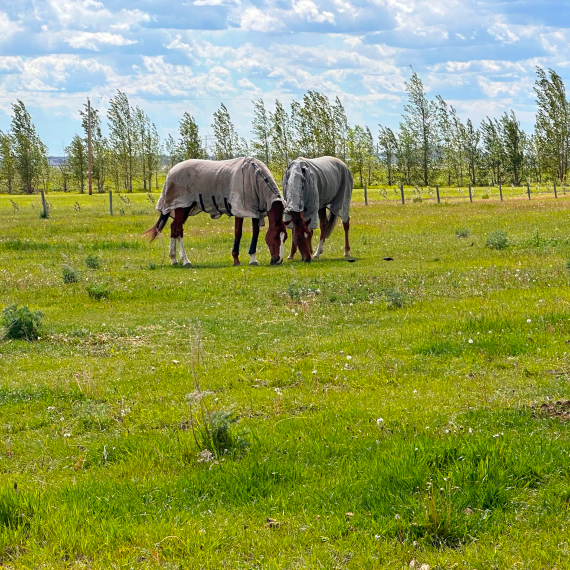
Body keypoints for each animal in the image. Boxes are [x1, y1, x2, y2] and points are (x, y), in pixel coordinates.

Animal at [141, 156, 286, 266]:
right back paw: (185, 260)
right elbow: (238, 233)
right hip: (181, 207)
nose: (278, 260)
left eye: (285, 237)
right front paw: (236, 259)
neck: (254, 175)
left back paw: (174, 259)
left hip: (184, 208)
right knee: (178, 229)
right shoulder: (239, 210)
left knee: (174, 228)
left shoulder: (254, 211)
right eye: (275, 236)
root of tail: (171, 171)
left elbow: (255, 233)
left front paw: (253, 259)